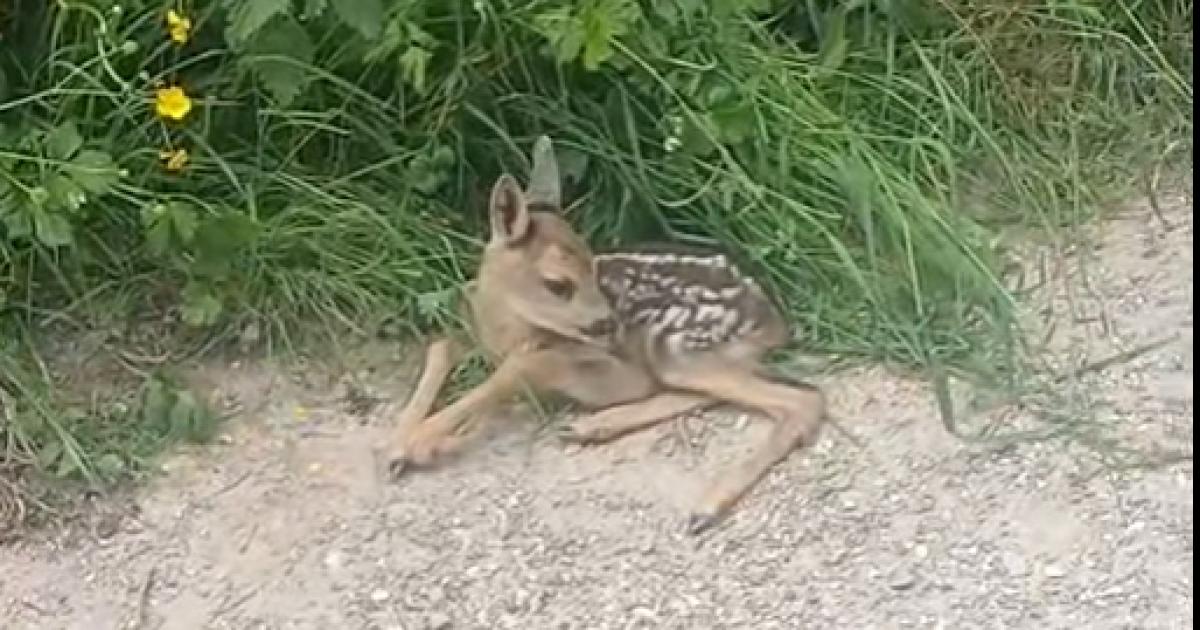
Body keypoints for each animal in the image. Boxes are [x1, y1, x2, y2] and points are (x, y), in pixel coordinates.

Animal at [378, 135, 827, 534]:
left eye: (593, 266)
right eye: (558, 284)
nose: (608, 324)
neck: (507, 328)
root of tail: (774, 317)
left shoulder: (609, 367)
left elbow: (517, 370)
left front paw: (421, 442)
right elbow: (443, 347)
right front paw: (404, 445)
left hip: (671, 344)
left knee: (804, 401)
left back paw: (705, 506)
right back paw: (593, 427)